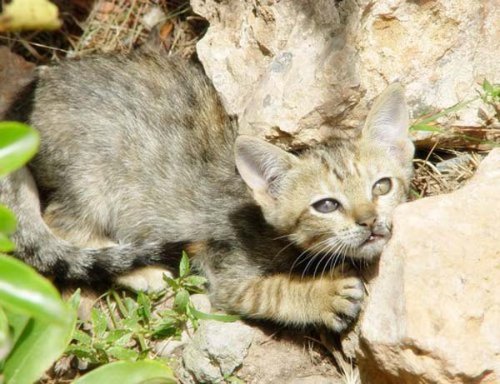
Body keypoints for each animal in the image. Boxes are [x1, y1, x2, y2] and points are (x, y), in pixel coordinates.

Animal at [0, 52, 414, 332]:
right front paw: (323, 295)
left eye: (382, 186)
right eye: (326, 205)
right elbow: (266, 292)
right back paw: (142, 272)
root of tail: (23, 104)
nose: (369, 221)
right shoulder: (226, 270)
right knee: (61, 225)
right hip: (92, 182)